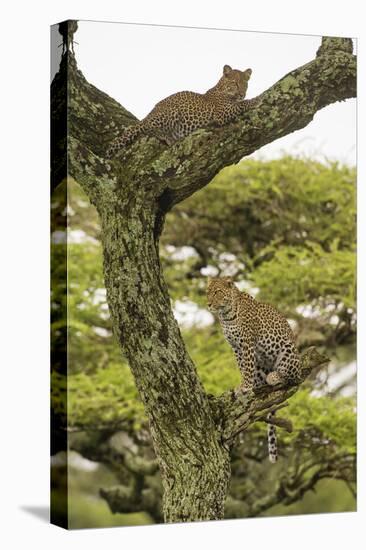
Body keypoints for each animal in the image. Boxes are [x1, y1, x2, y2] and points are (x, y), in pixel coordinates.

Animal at [106, 66, 258, 160]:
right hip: (171, 111)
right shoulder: (221, 113)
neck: (222, 89)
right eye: (235, 83)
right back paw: (167, 137)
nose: (242, 94)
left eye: (245, 84)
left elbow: (240, 103)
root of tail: (149, 114)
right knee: (149, 128)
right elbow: (241, 104)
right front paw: (257, 99)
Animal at [206, 278, 300, 464]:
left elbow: (247, 366)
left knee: (292, 377)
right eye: (208, 292)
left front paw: (245, 387)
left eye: (218, 292)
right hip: (261, 364)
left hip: (288, 353)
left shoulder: (247, 343)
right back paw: (260, 384)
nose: (208, 304)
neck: (226, 315)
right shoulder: (235, 347)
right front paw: (244, 385)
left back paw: (274, 376)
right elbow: (243, 367)